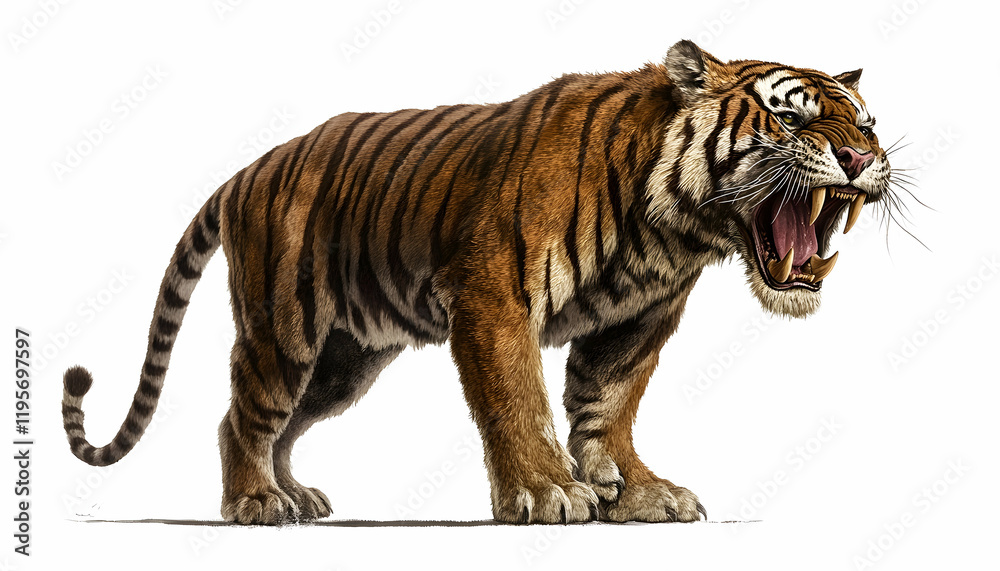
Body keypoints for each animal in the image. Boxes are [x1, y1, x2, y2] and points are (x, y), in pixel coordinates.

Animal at [61, 40, 897, 525]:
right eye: (792, 120)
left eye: (867, 123)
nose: (861, 160)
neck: (672, 229)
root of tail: (247, 170)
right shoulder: (495, 298)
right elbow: (518, 399)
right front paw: (547, 492)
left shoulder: (634, 323)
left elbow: (610, 407)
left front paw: (636, 490)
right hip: (283, 330)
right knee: (242, 416)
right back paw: (254, 500)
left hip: (343, 362)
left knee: (287, 423)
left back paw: (295, 494)